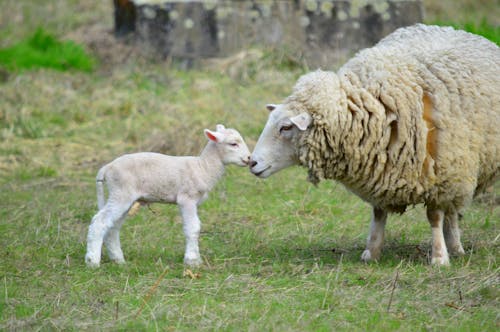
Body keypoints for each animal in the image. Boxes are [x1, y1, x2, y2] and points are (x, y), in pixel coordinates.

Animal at [85, 124, 254, 268]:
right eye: (233, 144)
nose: (249, 159)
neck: (203, 167)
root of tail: (107, 168)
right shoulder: (187, 198)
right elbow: (193, 227)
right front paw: (192, 261)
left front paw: (195, 259)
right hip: (121, 192)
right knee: (100, 221)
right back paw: (92, 262)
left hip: (123, 196)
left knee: (113, 226)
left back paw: (119, 260)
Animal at [252, 24, 498, 266]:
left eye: (286, 127)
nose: (252, 162)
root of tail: (453, 28)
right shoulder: (380, 172)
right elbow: (378, 215)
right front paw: (372, 252)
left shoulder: (439, 174)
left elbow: (435, 216)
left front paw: (439, 257)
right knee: (453, 210)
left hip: (460, 168)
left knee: (451, 211)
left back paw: (455, 247)